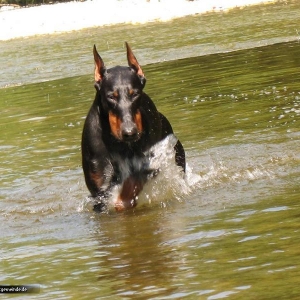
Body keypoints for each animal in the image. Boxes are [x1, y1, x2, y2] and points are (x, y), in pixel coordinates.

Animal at [81, 42, 185, 211]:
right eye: (111, 96)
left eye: (135, 94)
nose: (130, 132)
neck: (118, 144)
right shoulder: (99, 189)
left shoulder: (150, 165)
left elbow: (131, 184)